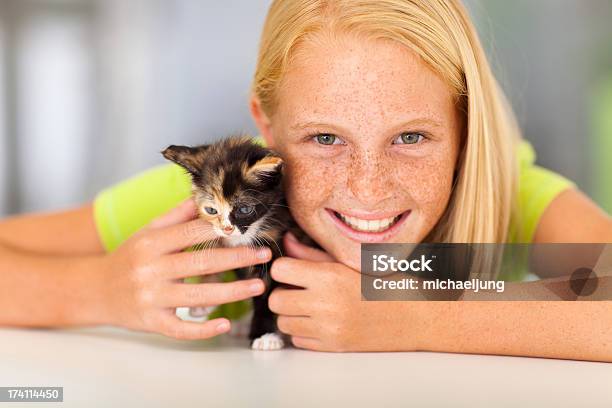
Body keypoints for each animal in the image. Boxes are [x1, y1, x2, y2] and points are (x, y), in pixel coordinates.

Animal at [163, 135, 308, 350]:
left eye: (244, 209)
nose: (227, 229)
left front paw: (265, 335)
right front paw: (204, 301)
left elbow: (266, 297)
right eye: (211, 210)